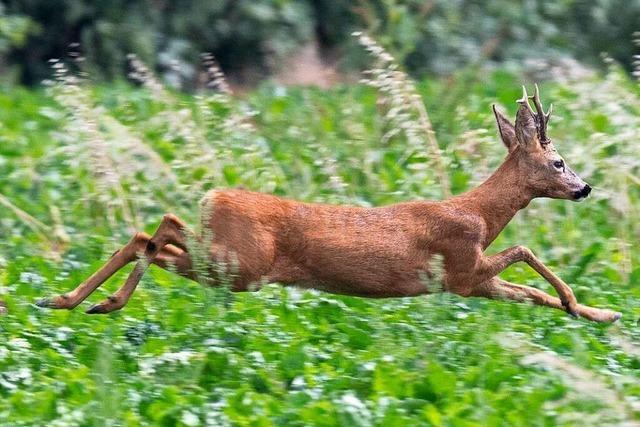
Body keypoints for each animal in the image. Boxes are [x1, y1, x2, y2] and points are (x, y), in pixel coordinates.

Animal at [37, 85, 624, 322]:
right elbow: (526, 252)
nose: (585, 188)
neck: (478, 213)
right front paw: (584, 304)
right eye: (558, 162)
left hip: (230, 262)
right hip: (241, 265)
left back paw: (76, 301)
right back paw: (85, 301)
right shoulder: (461, 266)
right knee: (158, 232)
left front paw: (599, 313)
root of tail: (214, 195)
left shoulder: (471, 284)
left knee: (155, 234)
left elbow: (531, 293)